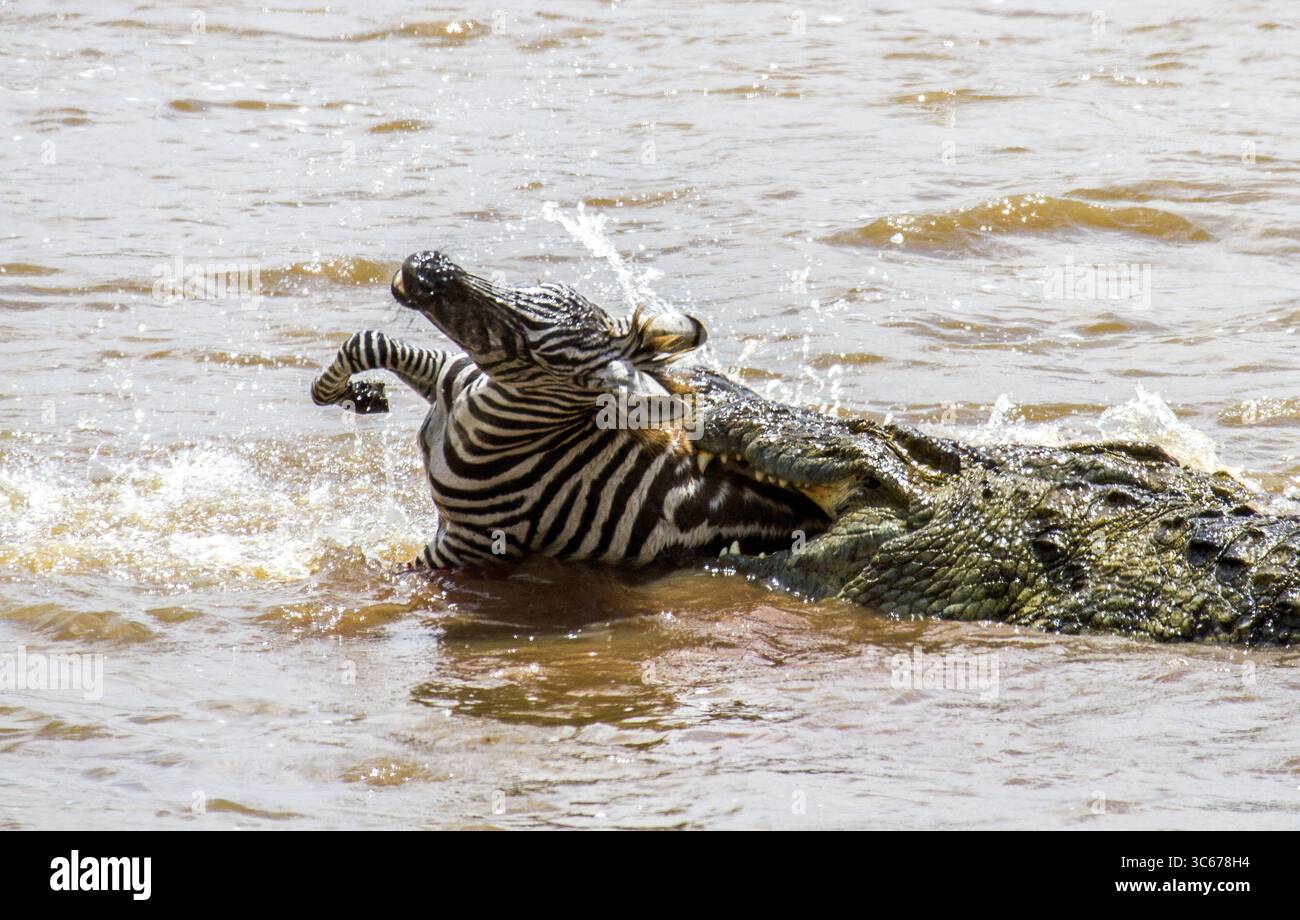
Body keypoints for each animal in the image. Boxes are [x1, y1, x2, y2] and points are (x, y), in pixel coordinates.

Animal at [311, 250, 827, 569]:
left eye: (537, 354)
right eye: (533, 287)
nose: (426, 267)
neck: (478, 412)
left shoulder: (465, 543)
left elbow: (396, 576)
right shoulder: (449, 377)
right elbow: (367, 342)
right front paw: (351, 394)